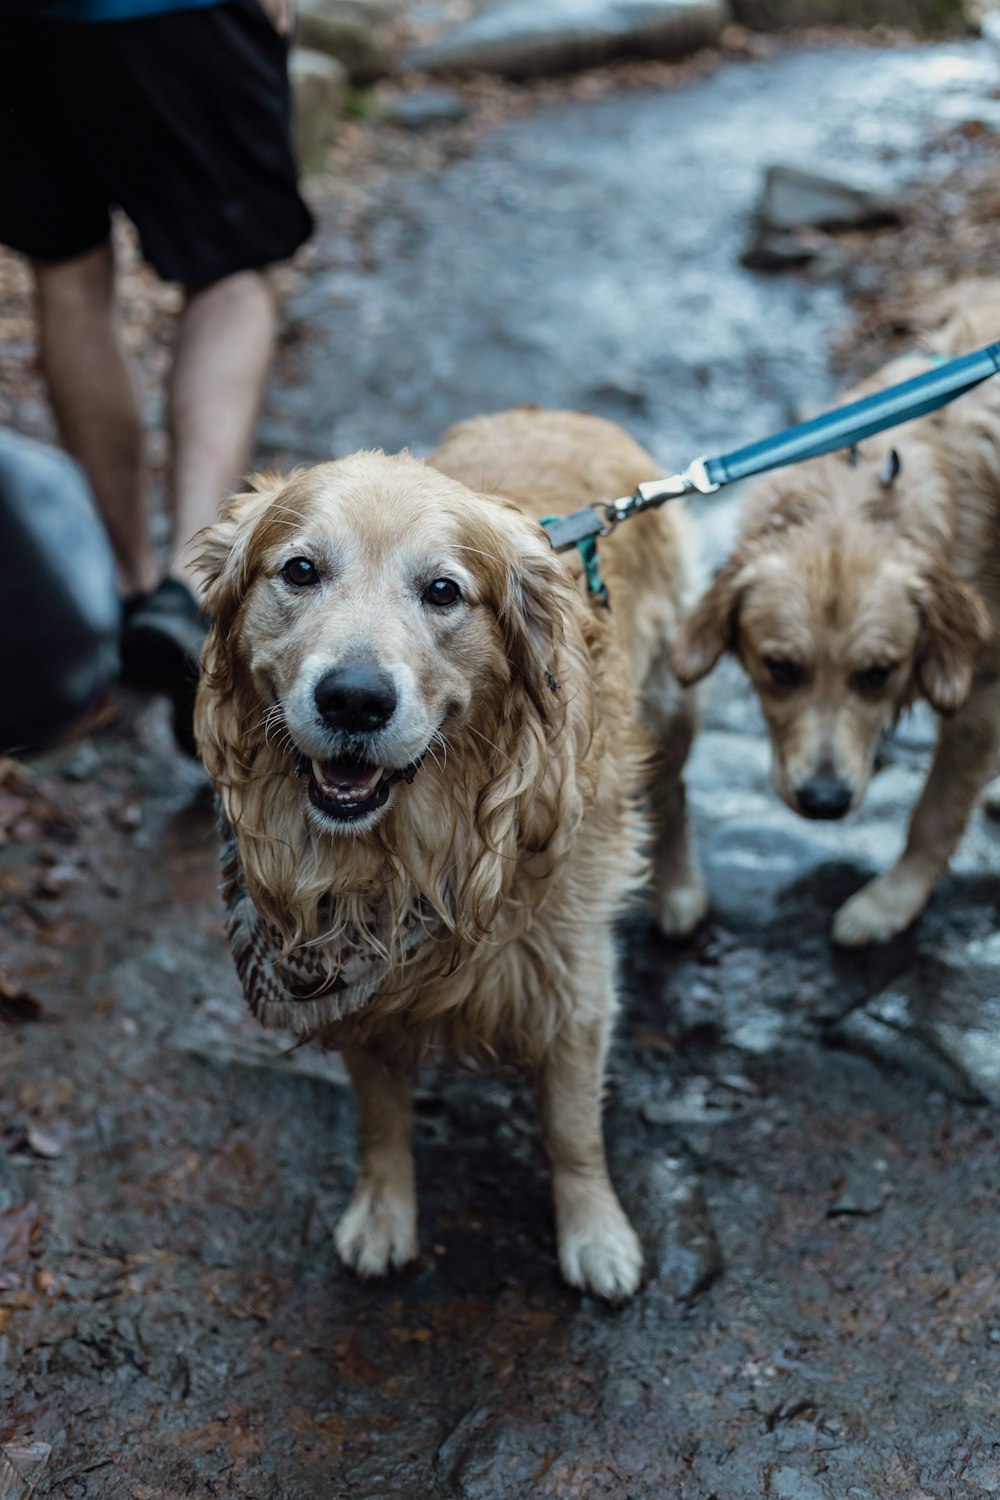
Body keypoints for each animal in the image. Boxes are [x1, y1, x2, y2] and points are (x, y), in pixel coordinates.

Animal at [194, 411, 704, 1302]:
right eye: (300, 570)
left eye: (442, 591)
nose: (354, 699)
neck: (415, 855)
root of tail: (569, 415)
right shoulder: (354, 981)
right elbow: (380, 1117)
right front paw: (383, 1212)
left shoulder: (574, 982)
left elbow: (573, 1129)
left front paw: (597, 1232)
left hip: (671, 701)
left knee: (674, 796)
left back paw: (678, 890)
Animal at [671, 285, 1000, 942]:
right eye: (780, 668)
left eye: (878, 674)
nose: (824, 803)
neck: (859, 491)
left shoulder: (980, 691)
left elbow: (935, 811)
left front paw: (890, 904)